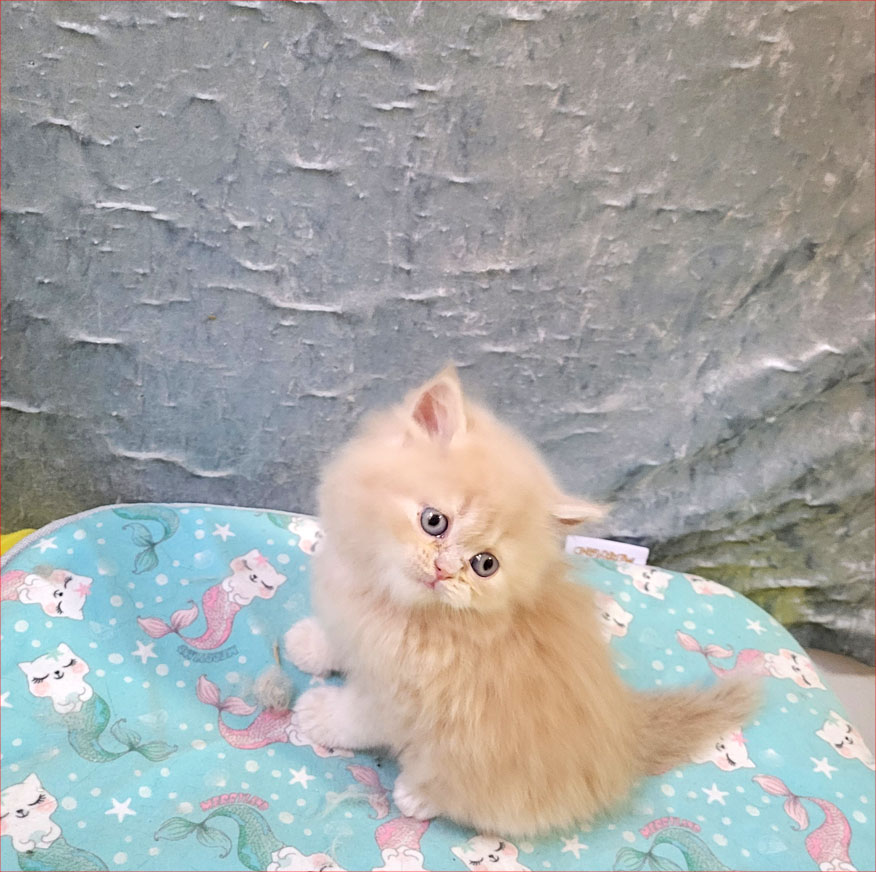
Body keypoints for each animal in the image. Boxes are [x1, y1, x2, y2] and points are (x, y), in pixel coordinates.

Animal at [285, 366, 759, 836]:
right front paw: (309, 644)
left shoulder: (401, 699)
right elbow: (336, 640)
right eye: (434, 521)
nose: (445, 570)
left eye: (484, 564)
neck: (388, 600)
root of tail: (629, 736)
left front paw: (319, 715)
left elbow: (358, 718)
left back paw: (417, 795)